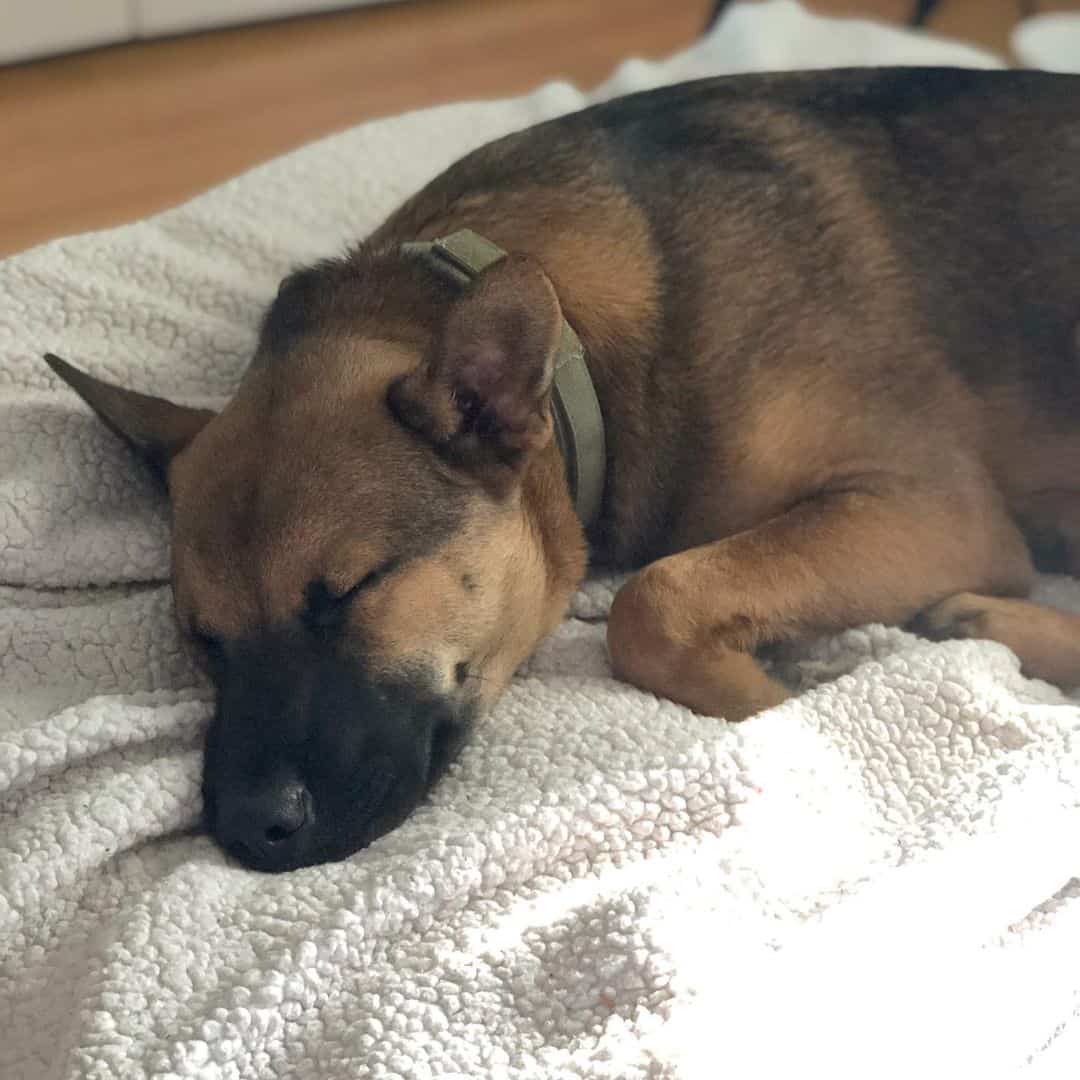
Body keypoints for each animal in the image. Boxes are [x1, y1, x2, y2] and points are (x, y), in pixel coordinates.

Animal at [46, 69, 1080, 868]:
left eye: (352, 592)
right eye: (203, 640)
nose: (246, 831)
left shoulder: (939, 508)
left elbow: (651, 601)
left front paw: (777, 704)